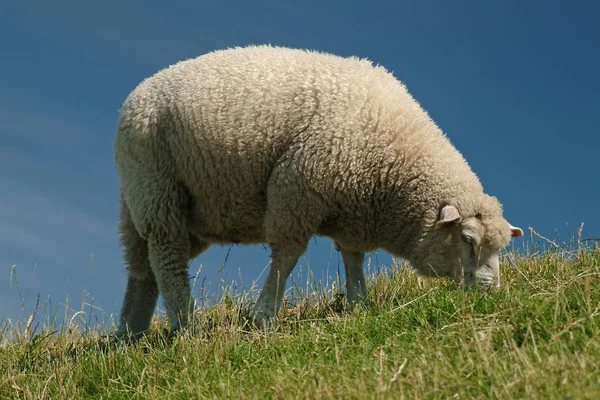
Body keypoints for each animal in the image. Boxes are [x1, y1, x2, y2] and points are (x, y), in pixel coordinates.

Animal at [115, 44, 524, 338]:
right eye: (468, 239)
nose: (490, 292)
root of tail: (136, 96)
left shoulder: (354, 210)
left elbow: (354, 259)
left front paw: (359, 306)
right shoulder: (296, 192)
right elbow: (286, 260)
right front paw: (265, 317)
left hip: (161, 206)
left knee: (142, 270)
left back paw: (129, 335)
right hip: (157, 192)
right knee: (168, 262)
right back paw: (185, 327)